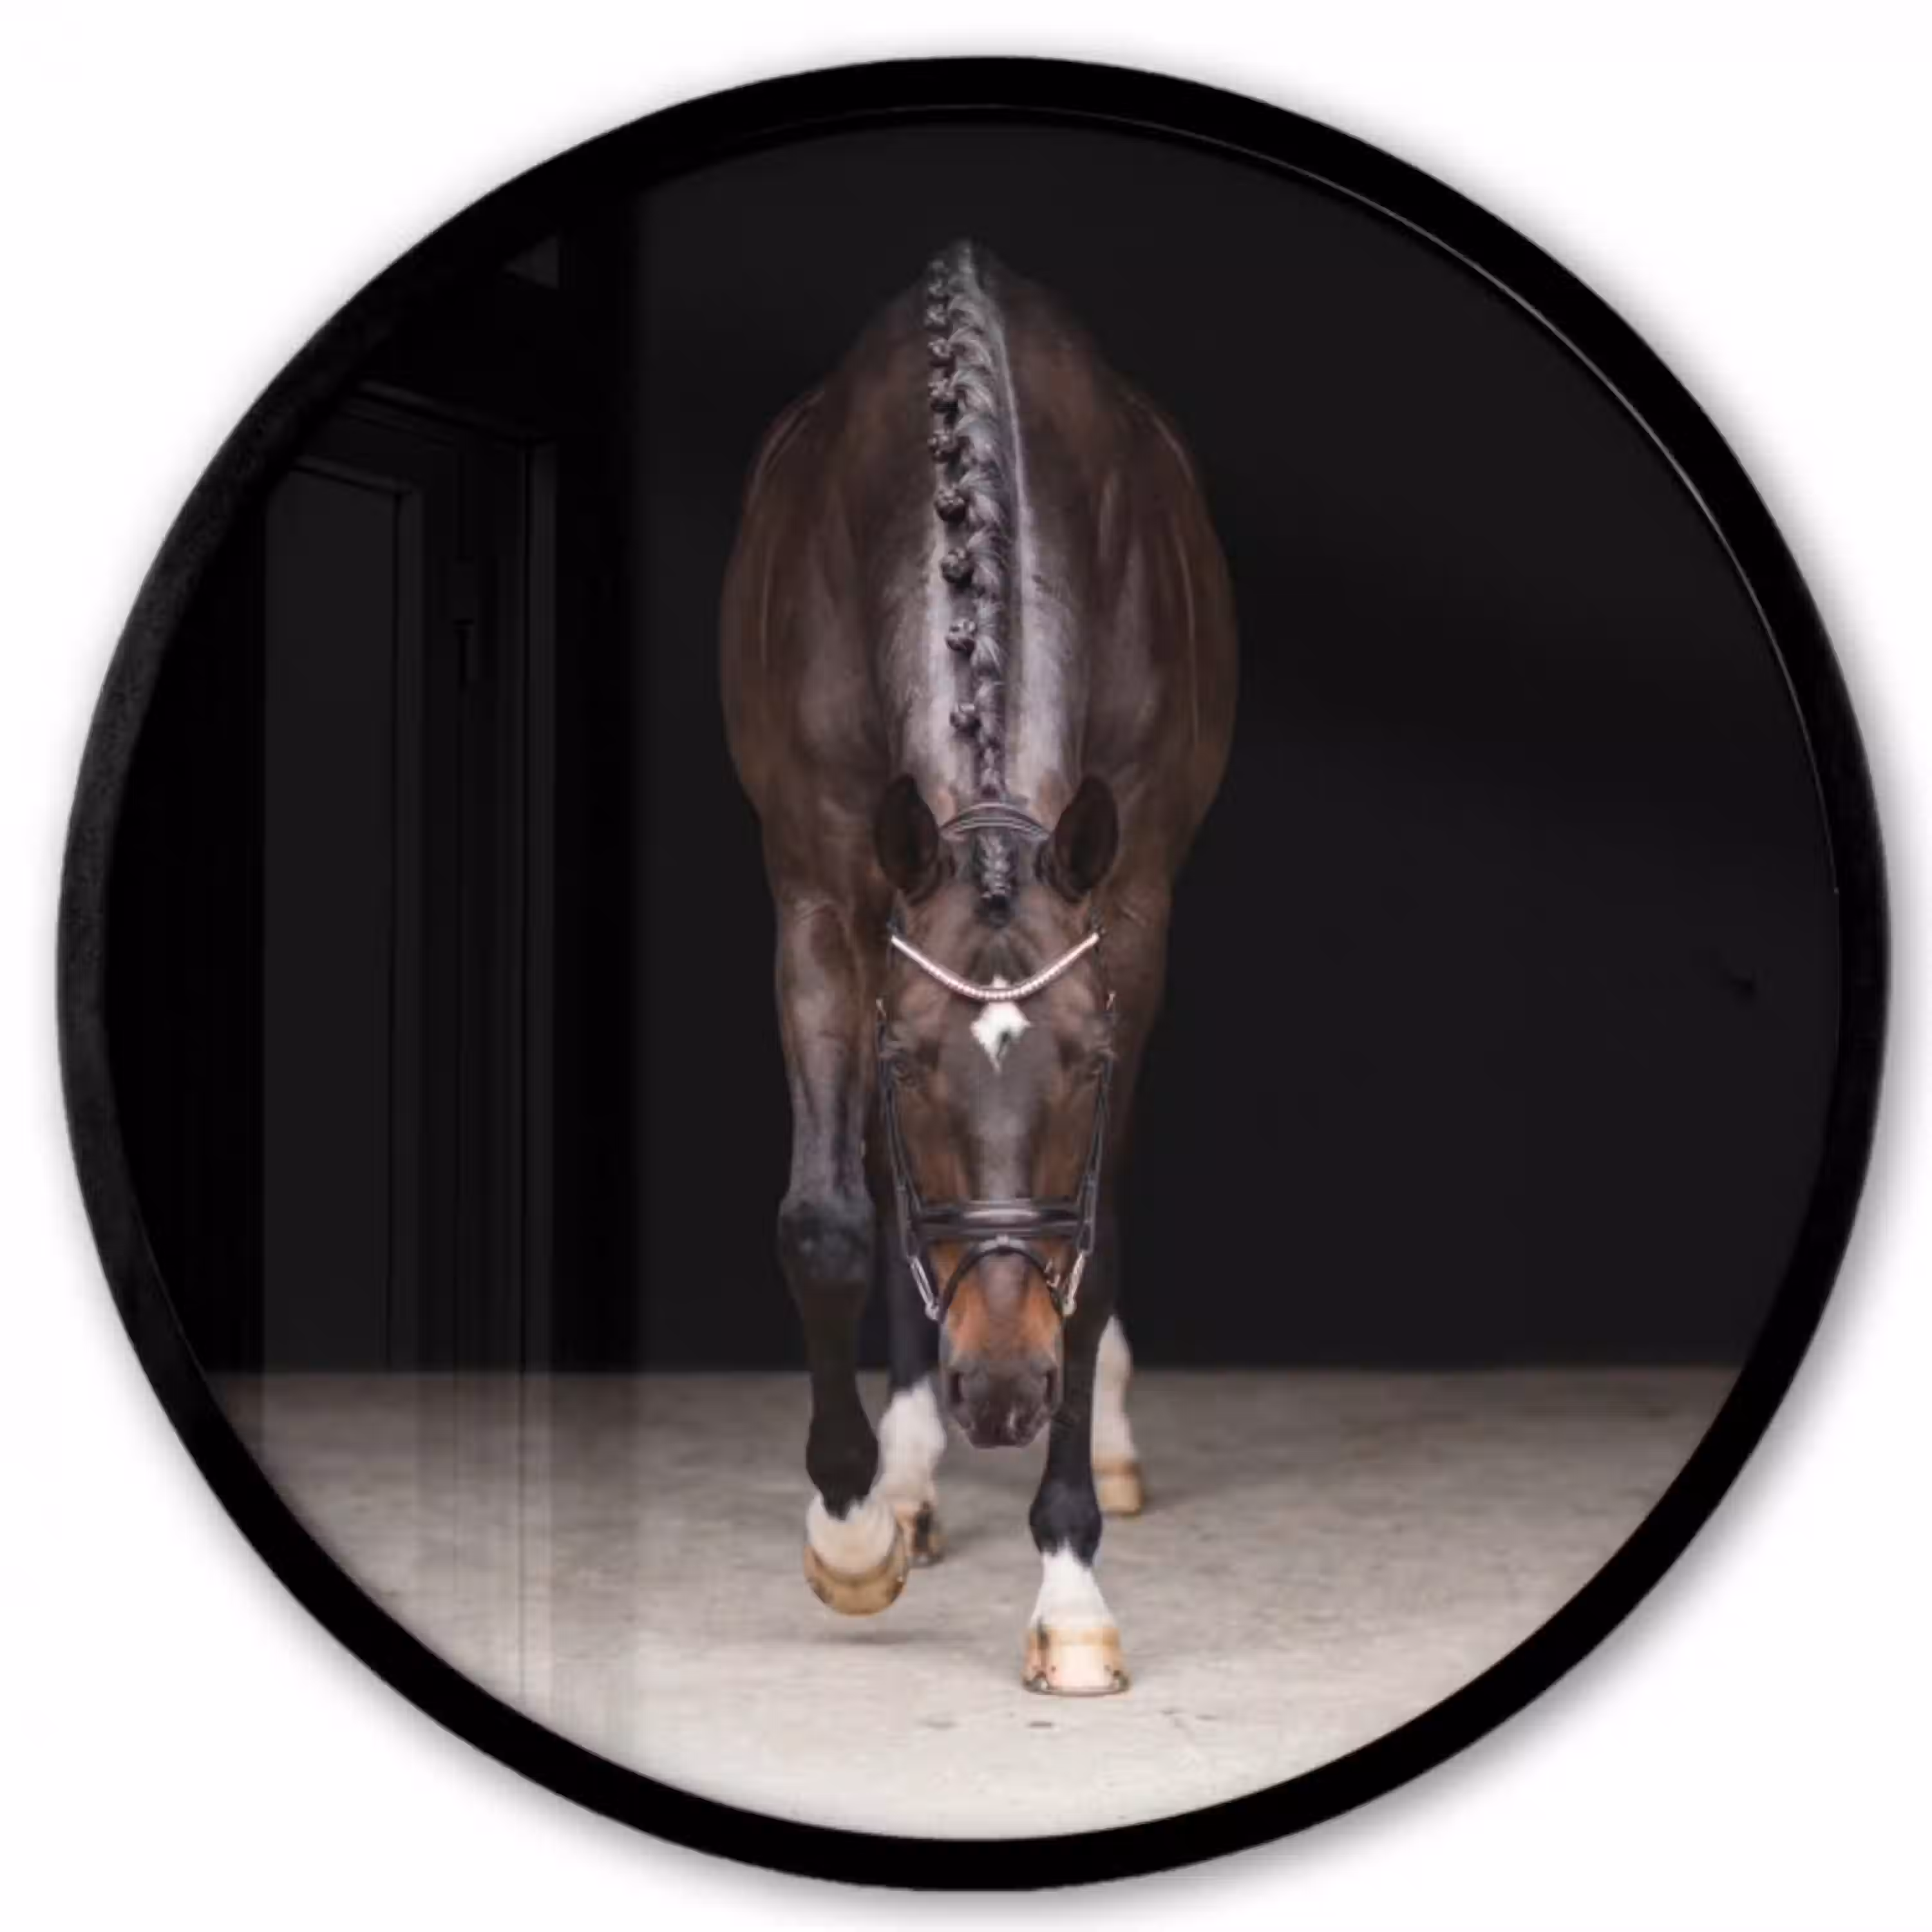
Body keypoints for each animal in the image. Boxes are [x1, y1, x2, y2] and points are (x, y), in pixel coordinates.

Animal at [720, 239, 1236, 1693]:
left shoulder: (1131, 916)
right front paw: (851, 1531)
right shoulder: (820, 897)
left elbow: (1090, 1247)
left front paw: (1069, 1590)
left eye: (1088, 1065)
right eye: (906, 1067)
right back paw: (905, 1479)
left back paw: (1096, 1443)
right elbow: (833, 1219)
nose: (1002, 1390)